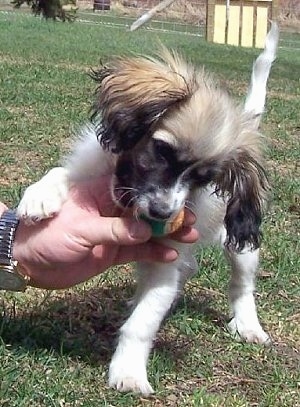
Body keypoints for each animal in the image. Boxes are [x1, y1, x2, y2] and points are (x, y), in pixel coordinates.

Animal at [17, 23, 278, 398]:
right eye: (162, 150)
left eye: (203, 178)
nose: (161, 212)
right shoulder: (90, 169)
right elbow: (61, 172)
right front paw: (40, 195)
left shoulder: (164, 265)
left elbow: (142, 324)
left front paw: (128, 371)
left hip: (241, 245)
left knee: (241, 284)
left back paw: (248, 325)